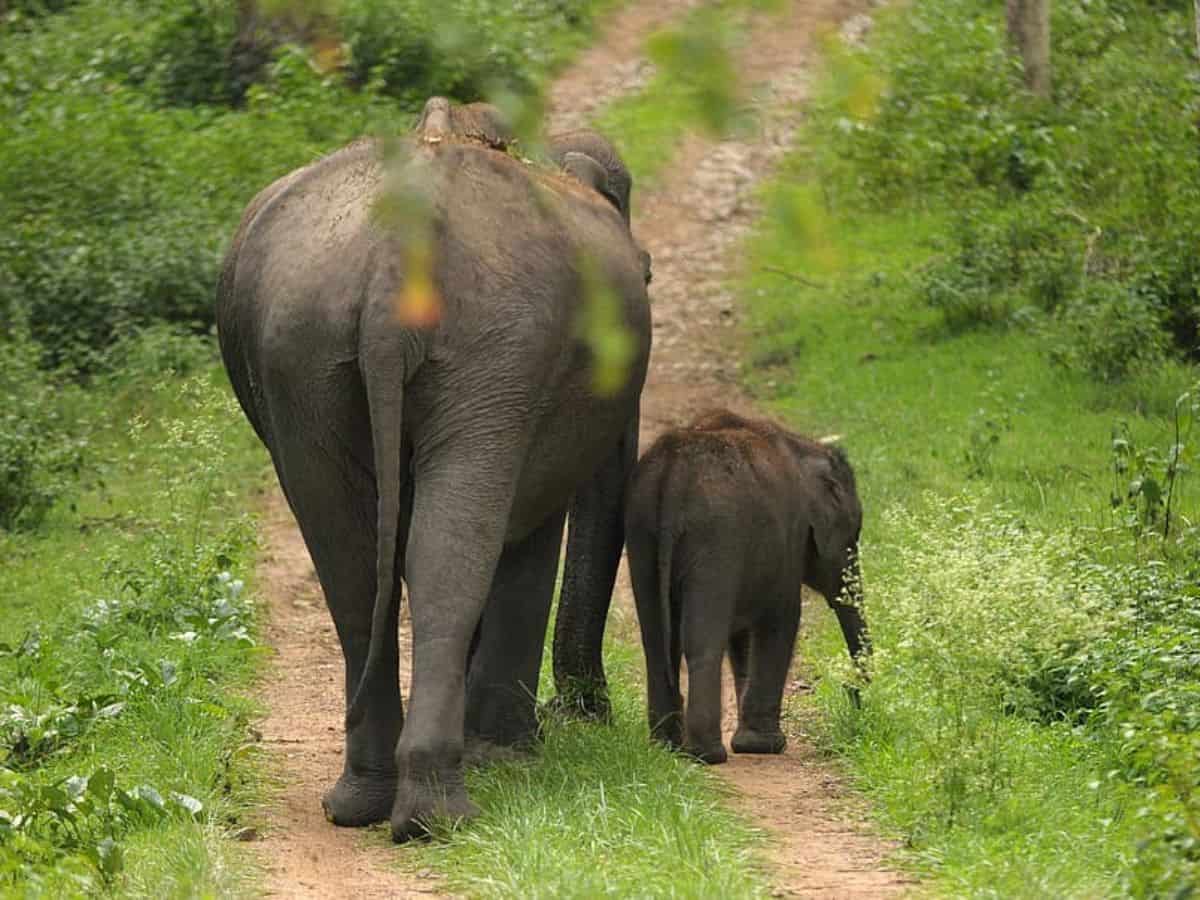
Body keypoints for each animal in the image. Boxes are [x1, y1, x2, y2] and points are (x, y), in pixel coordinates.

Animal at [213, 109, 648, 844]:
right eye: (646, 273)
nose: (584, 711)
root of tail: (398, 249)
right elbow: (528, 533)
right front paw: (508, 753)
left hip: (305, 352)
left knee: (356, 562)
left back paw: (367, 803)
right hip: (488, 348)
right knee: (448, 553)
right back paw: (439, 811)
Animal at [624, 412, 868, 763]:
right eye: (853, 538)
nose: (852, 693)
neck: (805, 447)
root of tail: (671, 477)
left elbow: (742, 639)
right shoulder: (788, 538)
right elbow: (782, 620)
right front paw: (764, 746)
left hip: (641, 532)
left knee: (655, 641)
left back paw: (667, 746)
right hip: (715, 539)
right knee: (702, 641)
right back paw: (707, 754)